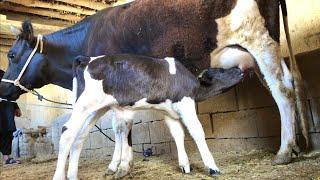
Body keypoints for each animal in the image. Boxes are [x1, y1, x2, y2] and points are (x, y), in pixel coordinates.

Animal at [53, 54, 241, 179]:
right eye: (221, 70)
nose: (239, 69)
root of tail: (86, 58)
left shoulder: (169, 112)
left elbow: (178, 135)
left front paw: (185, 165)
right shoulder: (185, 103)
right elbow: (197, 132)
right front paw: (212, 167)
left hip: (95, 108)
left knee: (80, 136)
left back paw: (73, 175)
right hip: (85, 105)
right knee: (67, 132)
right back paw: (60, 176)